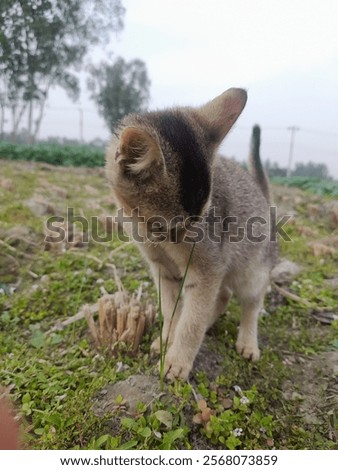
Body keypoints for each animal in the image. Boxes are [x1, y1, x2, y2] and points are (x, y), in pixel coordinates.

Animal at [105, 89, 278, 382]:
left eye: (200, 221)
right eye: (163, 228)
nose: (192, 242)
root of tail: (264, 198)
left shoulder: (207, 270)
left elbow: (191, 323)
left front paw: (177, 360)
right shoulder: (163, 270)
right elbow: (171, 311)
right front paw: (166, 339)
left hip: (250, 273)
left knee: (251, 304)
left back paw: (248, 342)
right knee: (222, 296)